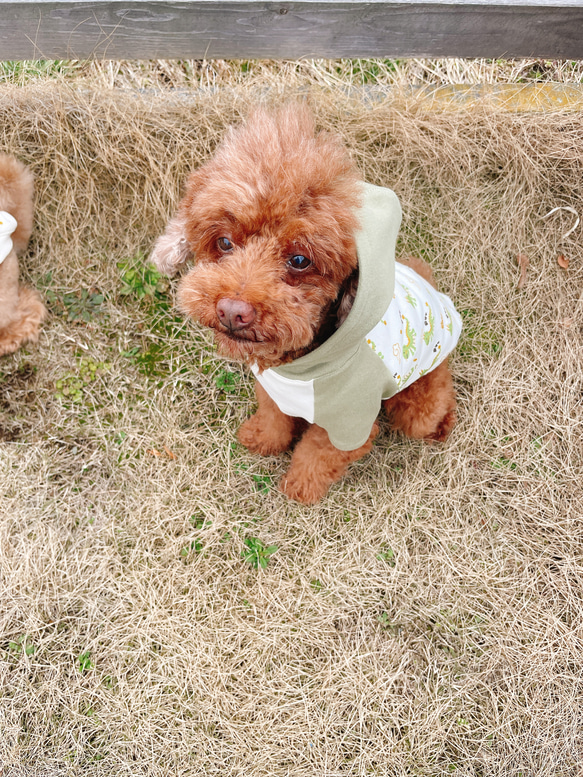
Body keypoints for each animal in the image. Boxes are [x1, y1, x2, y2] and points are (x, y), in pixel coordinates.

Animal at [153, 106, 464, 504]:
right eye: (223, 242)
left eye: (300, 260)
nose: (232, 311)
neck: (299, 367)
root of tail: (433, 291)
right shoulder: (273, 390)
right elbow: (274, 418)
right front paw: (262, 439)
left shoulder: (349, 422)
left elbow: (318, 454)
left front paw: (300, 488)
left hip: (421, 399)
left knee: (435, 403)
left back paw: (443, 425)